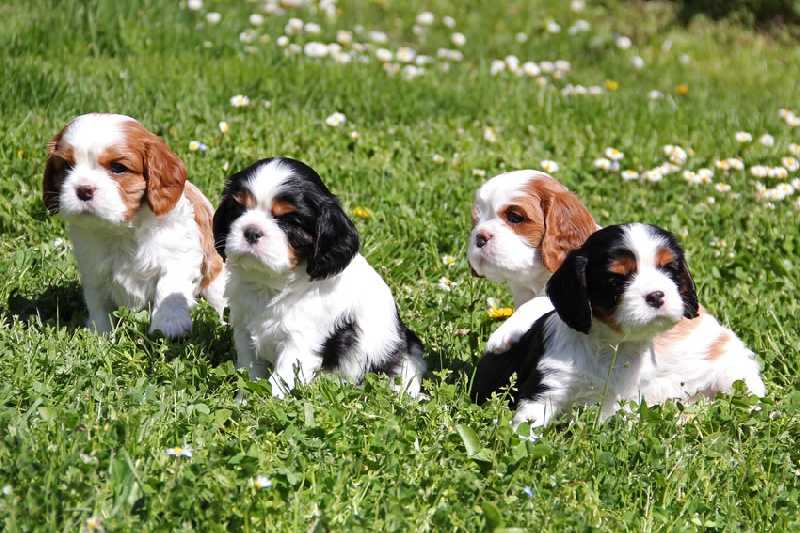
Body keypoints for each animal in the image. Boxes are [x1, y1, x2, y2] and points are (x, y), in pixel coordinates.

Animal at [476, 222, 700, 434]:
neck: (615, 345)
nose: (656, 295)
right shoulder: (547, 388)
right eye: (615, 280)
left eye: (669, 269)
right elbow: (527, 426)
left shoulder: (633, 397)